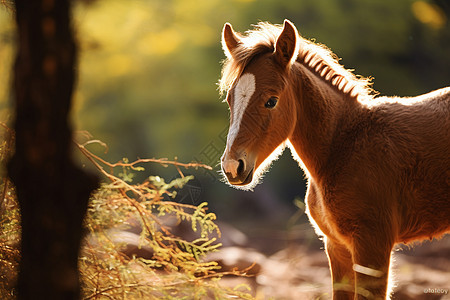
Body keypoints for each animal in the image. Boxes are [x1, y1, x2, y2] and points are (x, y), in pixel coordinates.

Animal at [219, 19, 450, 298]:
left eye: (271, 101)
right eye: (229, 99)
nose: (233, 167)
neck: (343, 148)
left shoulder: (373, 246)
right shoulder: (336, 246)